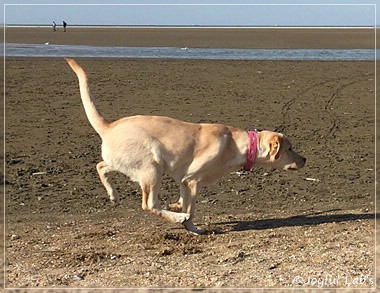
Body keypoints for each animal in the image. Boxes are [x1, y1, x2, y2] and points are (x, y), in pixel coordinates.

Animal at [65, 58, 306, 234]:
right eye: (290, 148)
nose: (304, 159)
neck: (238, 145)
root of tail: (109, 126)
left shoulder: (183, 182)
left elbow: (182, 199)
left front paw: (176, 207)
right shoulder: (192, 181)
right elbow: (191, 209)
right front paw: (190, 226)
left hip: (127, 162)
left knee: (101, 166)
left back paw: (113, 194)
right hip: (152, 166)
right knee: (149, 204)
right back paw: (176, 217)